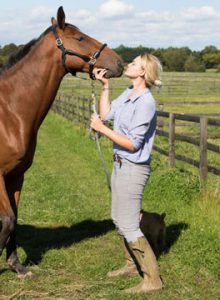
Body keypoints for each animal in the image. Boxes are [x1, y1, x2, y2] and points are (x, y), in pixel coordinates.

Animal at [0, 6, 124, 276]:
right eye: (80, 38)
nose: (119, 62)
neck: (10, 113)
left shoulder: (16, 175)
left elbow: (14, 219)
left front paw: (17, 266)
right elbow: (7, 220)